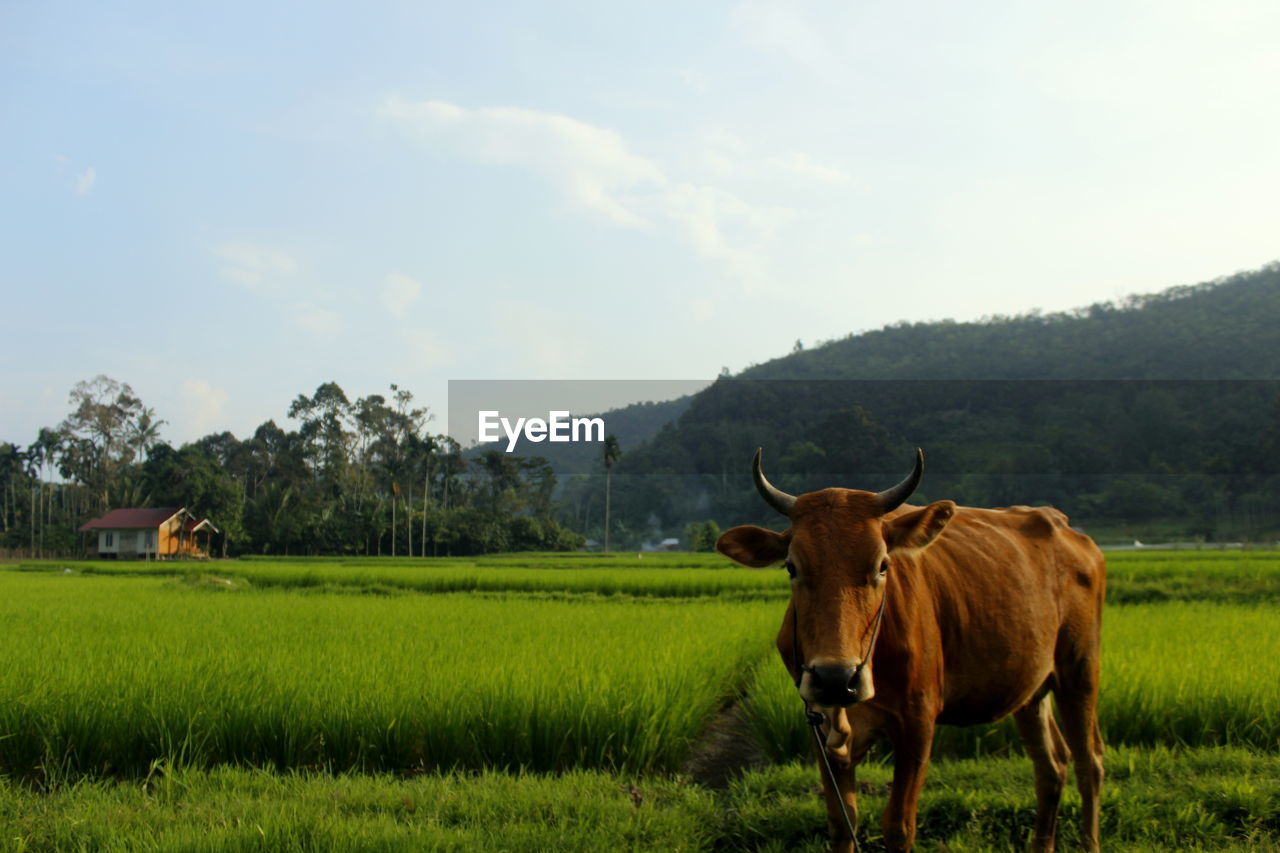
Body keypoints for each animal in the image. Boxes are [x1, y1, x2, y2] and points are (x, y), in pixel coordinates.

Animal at [716, 448, 1105, 850]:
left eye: (882, 564)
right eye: (792, 567)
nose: (837, 678)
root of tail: (1068, 528)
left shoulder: (918, 722)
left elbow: (899, 826)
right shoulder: (818, 724)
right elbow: (841, 822)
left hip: (1079, 670)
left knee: (1088, 761)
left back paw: (1090, 840)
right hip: (1029, 691)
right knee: (1052, 766)